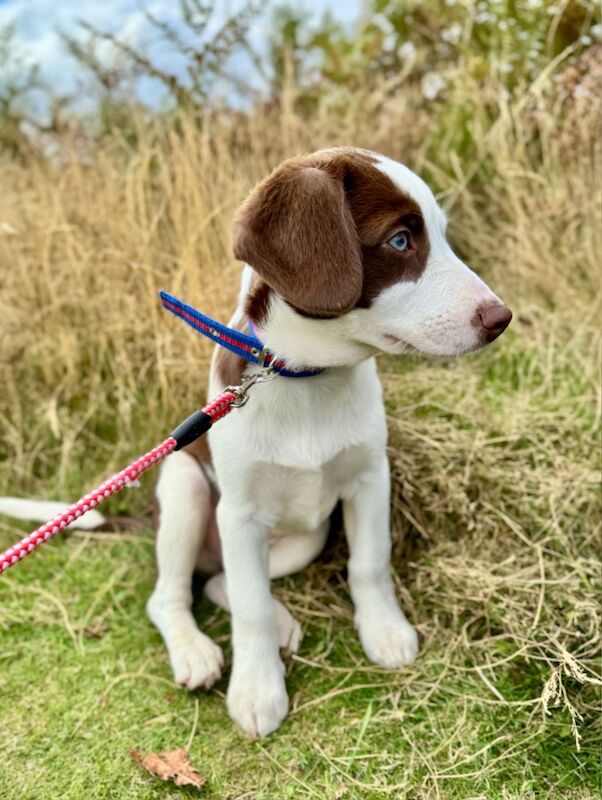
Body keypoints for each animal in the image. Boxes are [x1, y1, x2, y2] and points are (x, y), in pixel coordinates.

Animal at [146, 145, 510, 736]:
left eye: (441, 233)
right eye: (400, 241)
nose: (502, 318)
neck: (307, 379)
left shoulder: (369, 477)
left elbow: (370, 562)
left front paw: (384, 631)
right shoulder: (240, 514)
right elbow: (249, 606)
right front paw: (257, 689)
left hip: (304, 540)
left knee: (222, 581)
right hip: (187, 490)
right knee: (173, 595)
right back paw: (196, 651)